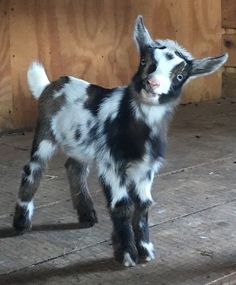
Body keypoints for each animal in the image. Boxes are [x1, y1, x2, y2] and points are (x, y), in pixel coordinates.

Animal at [12, 15, 227, 264]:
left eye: (180, 76)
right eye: (144, 62)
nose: (152, 84)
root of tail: (49, 85)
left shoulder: (145, 169)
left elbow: (143, 205)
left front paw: (145, 250)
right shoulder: (111, 164)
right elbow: (122, 204)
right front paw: (126, 254)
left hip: (80, 145)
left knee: (74, 167)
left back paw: (87, 215)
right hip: (45, 134)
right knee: (33, 169)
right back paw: (21, 224)